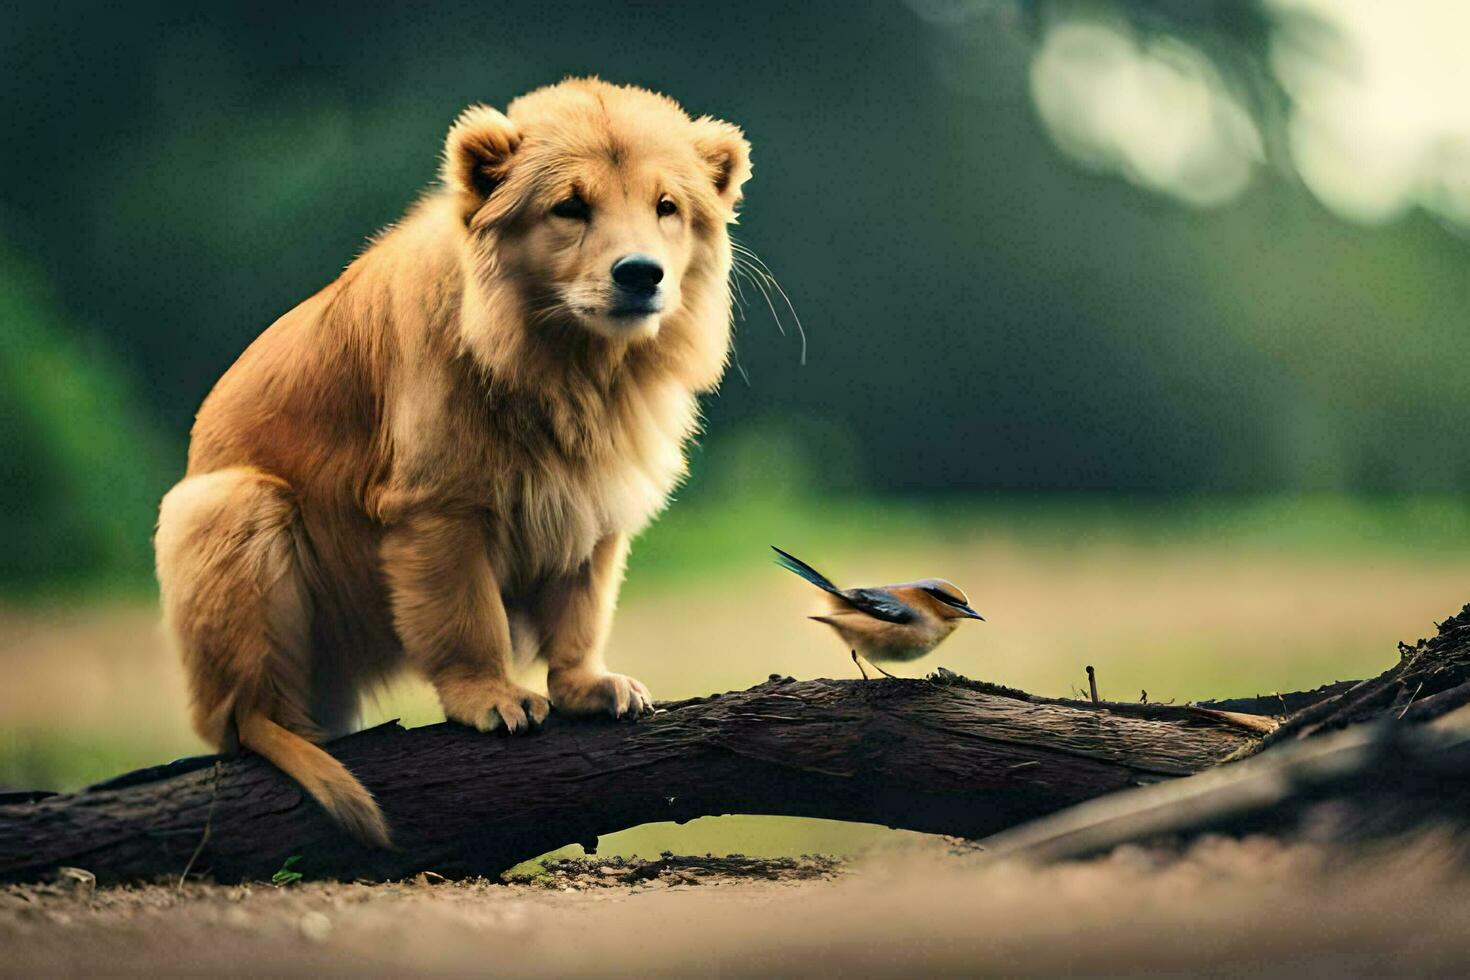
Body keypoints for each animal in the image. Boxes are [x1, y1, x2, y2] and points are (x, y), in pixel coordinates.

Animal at [155, 78, 752, 846]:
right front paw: (491, 698)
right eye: (570, 207)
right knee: (239, 719)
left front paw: (588, 687)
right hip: (227, 502)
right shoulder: (439, 508)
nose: (640, 274)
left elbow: (581, 612)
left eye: (666, 207)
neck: (570, 365)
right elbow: (467, 620)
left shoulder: (591, 501)